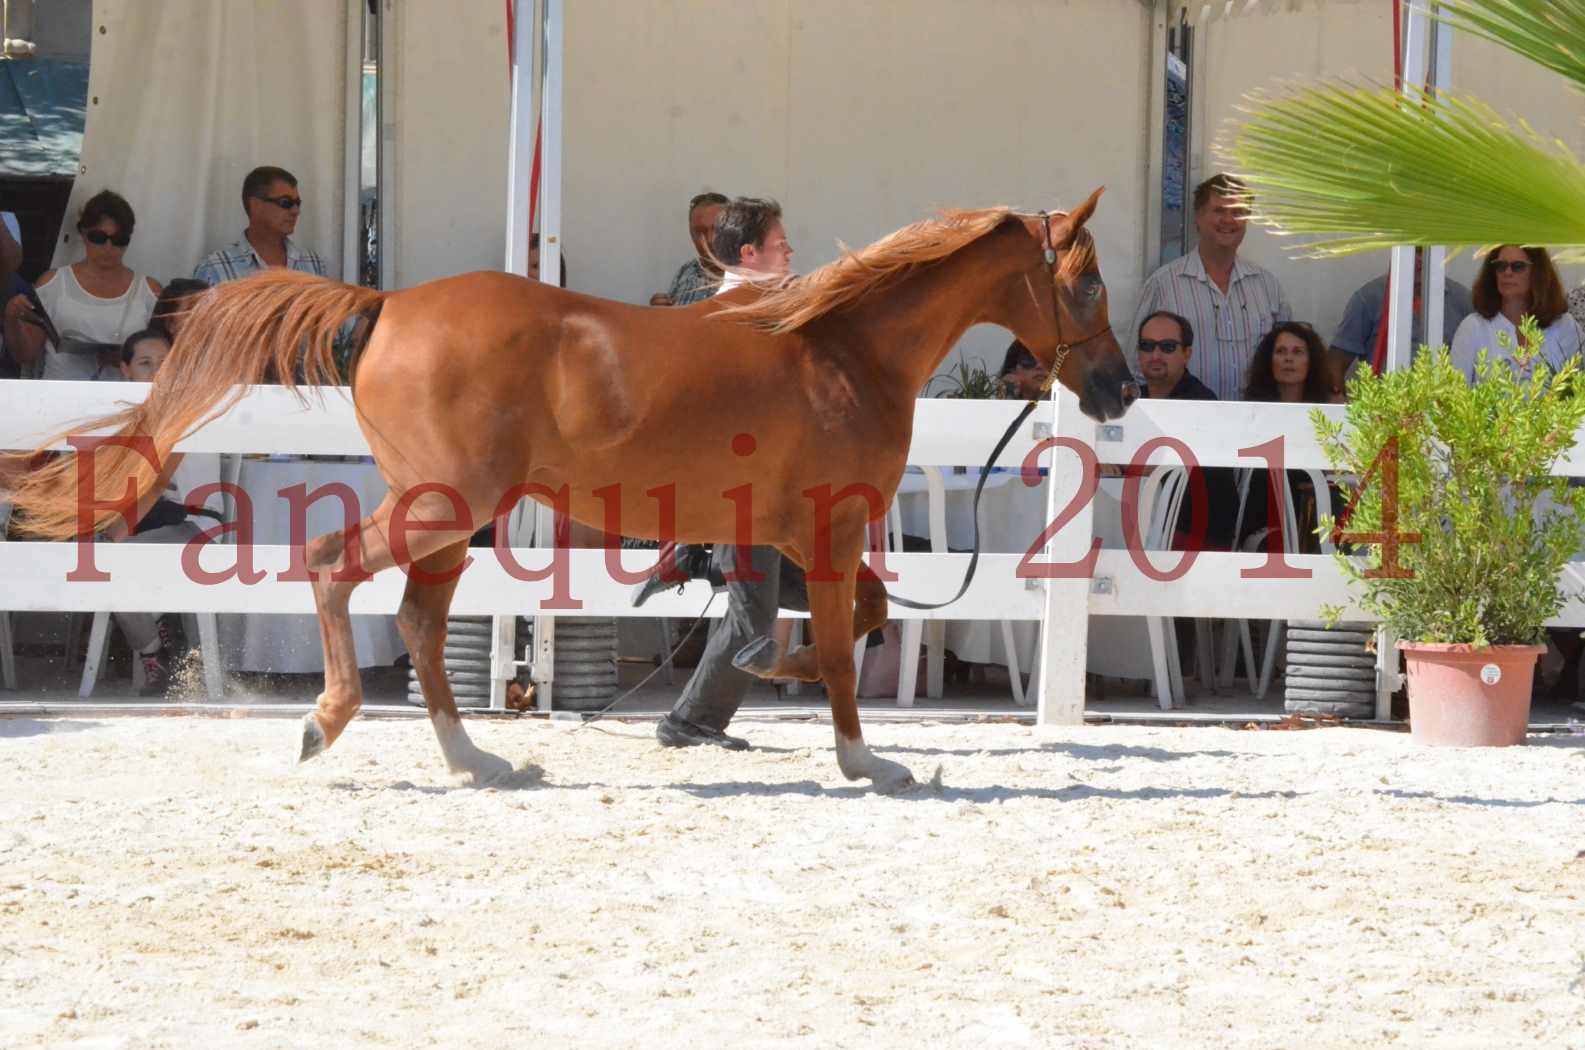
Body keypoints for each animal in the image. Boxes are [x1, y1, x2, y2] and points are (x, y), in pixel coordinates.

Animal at [6, 187, 1134, 789]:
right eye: (1084, 283)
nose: (1119, 388)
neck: (842, 350)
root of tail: (383, 304)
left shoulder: (807, 534)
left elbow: (856, 620)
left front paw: (765, 673)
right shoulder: (829, 525)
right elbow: (846, 641)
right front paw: (865, 761)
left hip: (448, 521)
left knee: (418, 625)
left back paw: (476, 760)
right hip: (442, 505)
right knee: (334, 569)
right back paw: (326, 722)